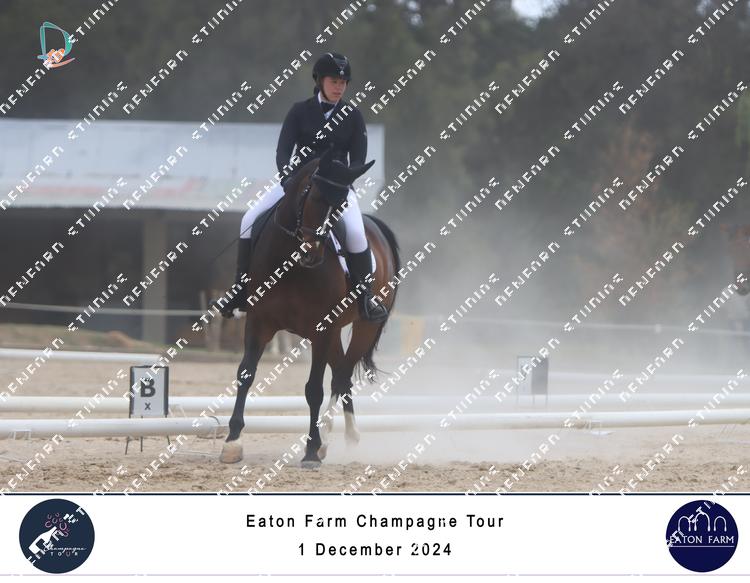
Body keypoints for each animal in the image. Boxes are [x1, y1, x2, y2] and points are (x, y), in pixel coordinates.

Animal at [219, 147, 401, 468]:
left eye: (342, 205)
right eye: (314, 197)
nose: (311, 253)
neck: (291, 265)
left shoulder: (321, 328)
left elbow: (314, 389)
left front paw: (311, 450)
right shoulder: (259, 322)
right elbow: (245, 374)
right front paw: (232, 442)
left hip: (362, 327)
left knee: (341, 377)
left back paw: (331, 437)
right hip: (333, 333)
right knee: (341, 374)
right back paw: (336, 436)